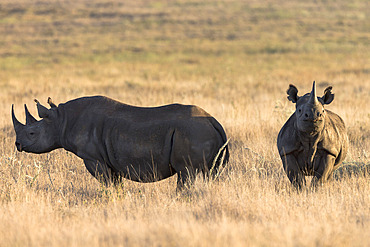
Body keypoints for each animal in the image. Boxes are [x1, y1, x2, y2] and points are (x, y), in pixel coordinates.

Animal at [11, 96, 228, 189]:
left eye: (31, 133)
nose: (17, 145)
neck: (61, 120)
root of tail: (213, 120)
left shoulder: (94, 159)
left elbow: (108, 184)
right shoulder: (110, 161)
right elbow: (116, 185)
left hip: (193, 132)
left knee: (186, 173)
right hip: (201, 133)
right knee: (211, 174)